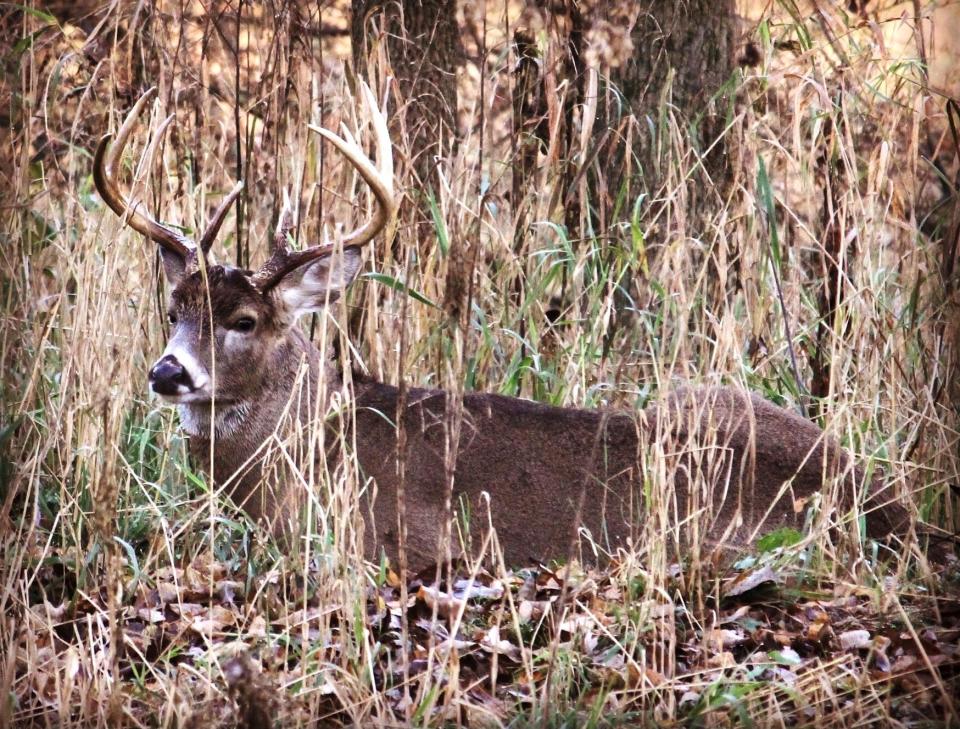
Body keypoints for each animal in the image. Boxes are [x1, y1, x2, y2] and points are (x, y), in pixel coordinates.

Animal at [94, 88, 912, 572]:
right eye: (173, 310)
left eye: (243, 319)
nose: (168, 373)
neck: (306, 442)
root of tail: (884, 509)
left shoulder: (391, 542)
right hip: (710, 394)